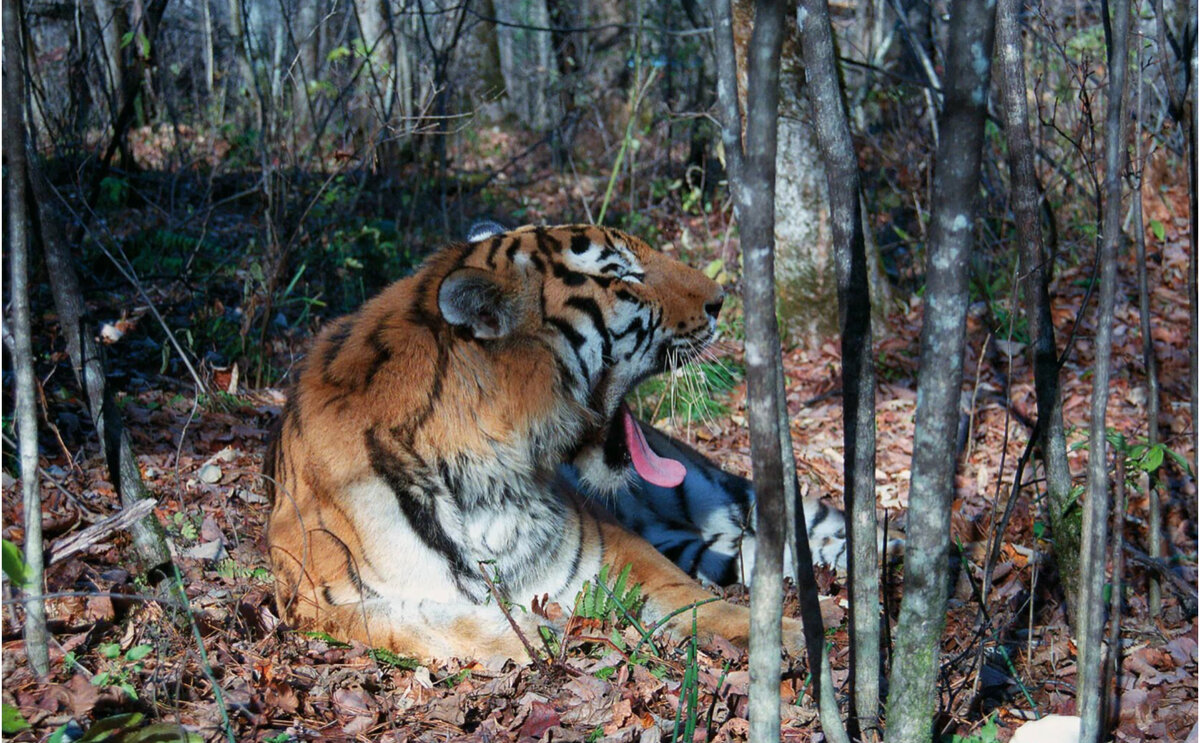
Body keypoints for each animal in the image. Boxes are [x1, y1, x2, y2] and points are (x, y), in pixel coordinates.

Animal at [262, 222, 806, 662]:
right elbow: (406, 621)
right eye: (621, 274)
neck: (486, 475)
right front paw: (520, 634)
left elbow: (695, 598)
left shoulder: (610, 547)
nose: (722, 298)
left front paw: (792, 634)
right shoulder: (314, 594)